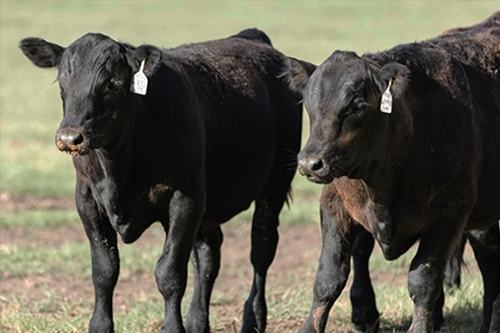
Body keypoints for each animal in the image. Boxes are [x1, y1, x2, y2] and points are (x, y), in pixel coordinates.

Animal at [22, 29, 312, 332]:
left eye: (113, 84)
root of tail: (253, 38)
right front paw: (100, 326)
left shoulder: (184, 199)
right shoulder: (87, 199)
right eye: (62, 83)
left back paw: (253, 318)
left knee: (261, 250)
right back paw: (197, 322)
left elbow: (169, 273)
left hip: (274, 184)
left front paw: (173, 326)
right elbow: (104, 270)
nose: (70, 137)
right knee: (208, 255)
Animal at [288, 11, 500, 330]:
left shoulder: (450, 213)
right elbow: (328, 278)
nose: (310, 163)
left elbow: (423, 280)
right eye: (309, 103)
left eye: (357, 105)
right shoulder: (335, 204)